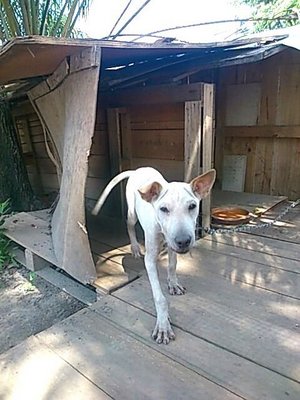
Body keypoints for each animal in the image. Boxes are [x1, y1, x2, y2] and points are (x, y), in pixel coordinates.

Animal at [92, 166, 216, 344]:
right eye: (163, 209)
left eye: (192, 206)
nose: (184, 241)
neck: (161, 228)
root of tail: (137, 170)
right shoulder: (150, 260)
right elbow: (159, 297)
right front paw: (163, 325)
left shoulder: (172, 246)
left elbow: (172, 265)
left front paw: (173, 284)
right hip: (132, 212)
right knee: (129, 225)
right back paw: (135, 247)